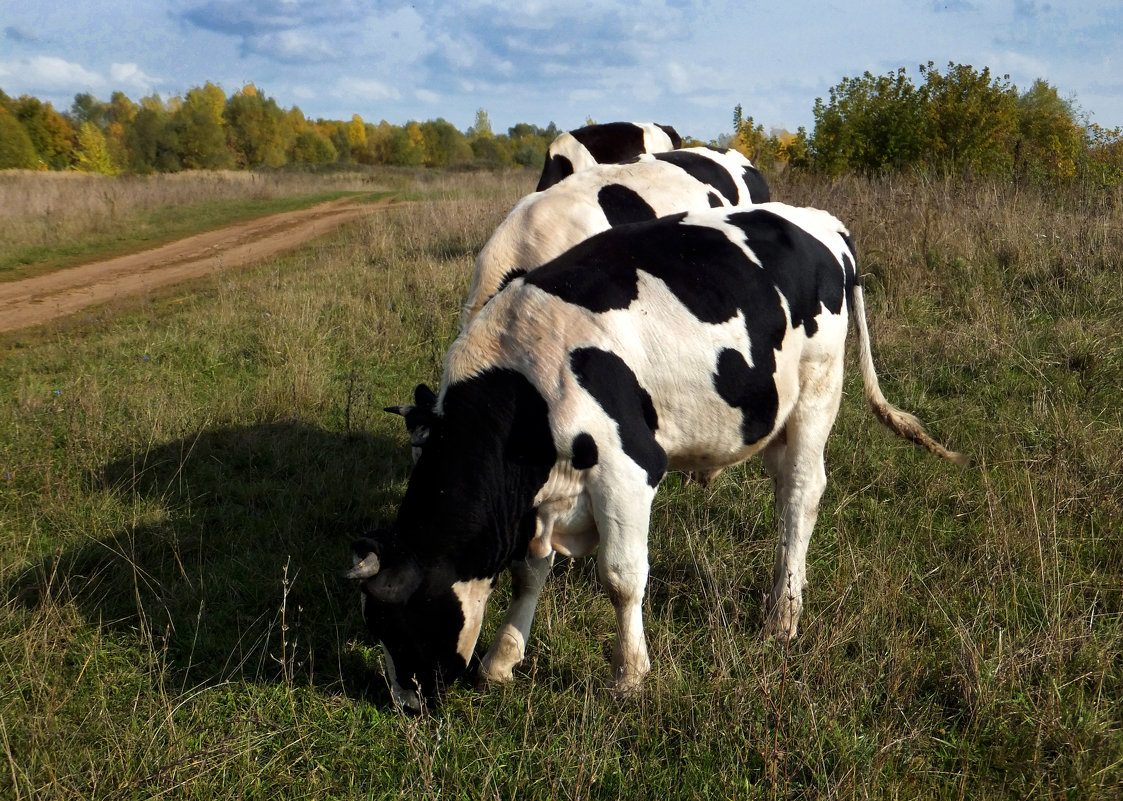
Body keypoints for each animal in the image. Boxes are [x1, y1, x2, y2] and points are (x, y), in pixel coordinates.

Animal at [348, 203, 956, 710]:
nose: (406, 703)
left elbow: (620, 576)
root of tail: (823, 222)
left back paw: (783, 617)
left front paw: (629, 676)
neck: (521, 387)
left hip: (817, 392)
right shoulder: (538, 500)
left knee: (800, 497)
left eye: (393, 621)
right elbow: (528, 573)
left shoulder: (628, 468)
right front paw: (501, 661)